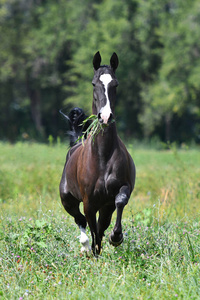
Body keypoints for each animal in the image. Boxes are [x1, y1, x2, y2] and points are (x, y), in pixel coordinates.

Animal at [58, 52, 135, 255]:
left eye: (115, 84)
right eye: (94, 84)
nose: (105, 117)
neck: (102, 157)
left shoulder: (117, 193)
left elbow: (120, 202)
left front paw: (116, 237)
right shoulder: (89, 202)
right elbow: (92, 229)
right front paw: (92, 250)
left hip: (104, 206)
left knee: (99, 225)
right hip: (67, 199)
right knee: (80, 220)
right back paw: (84, 247)